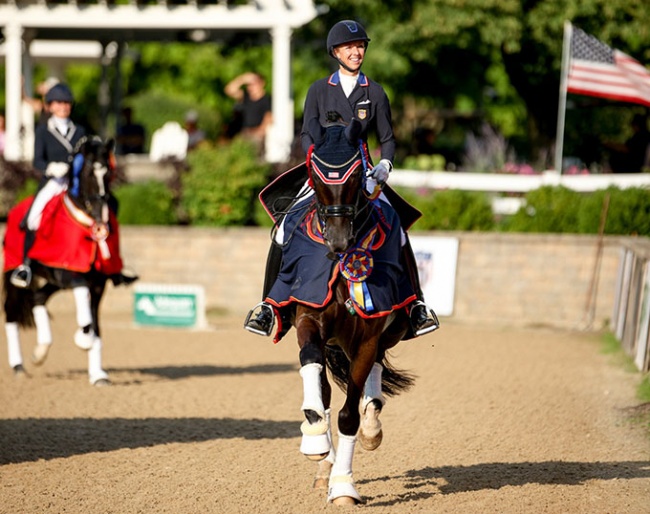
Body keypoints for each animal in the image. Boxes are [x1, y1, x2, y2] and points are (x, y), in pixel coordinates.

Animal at [3, 136, 128, 384]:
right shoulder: (70, 274)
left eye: (108, 172)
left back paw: (40, 351)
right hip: (16, 277)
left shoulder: (98, 284)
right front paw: (84, 340)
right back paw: (19, 366)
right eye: (88, 171)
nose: (100, 213)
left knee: (37, 298)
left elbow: (96, 326)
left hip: (53, 282)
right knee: (11, 313)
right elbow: (86, 318)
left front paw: (97, 375)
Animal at [270, 119, 416, 500]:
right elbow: (313, 373)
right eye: (315, 177)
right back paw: (324, 458)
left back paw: (371, 428)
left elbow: (350, 413)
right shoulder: (309, 318)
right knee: (323, 388)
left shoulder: (367, 337)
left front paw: (344, 486)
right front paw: (315, 440)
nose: (338, 242)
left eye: (355, 177)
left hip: (386, 333)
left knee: (373, 379)